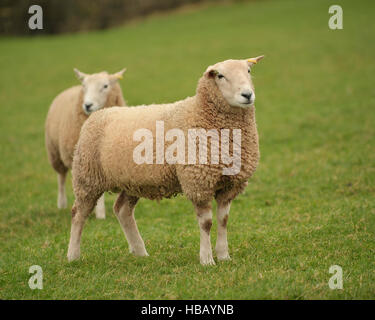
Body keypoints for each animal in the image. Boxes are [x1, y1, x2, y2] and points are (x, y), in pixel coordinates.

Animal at [45, 68, 128, 219]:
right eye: (84, 86)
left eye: (106, 86)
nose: (88, 105)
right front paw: (100, 214)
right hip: (55, 152)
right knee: (61, 178)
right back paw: (61, 204)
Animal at [68, 55, 268, 264]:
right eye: (220, 75)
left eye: (248, 71)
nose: (247, 95)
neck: (199, 111)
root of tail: (98, 114)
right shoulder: (198, 182)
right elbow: (206, 223)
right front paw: (207, 259)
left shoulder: (230, 184)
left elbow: (223, 220)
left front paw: (223, 256)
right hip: (87, 177)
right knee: (78, 214)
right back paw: (73, 255)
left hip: (132, 181)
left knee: (122, 210)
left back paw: (140, 251)